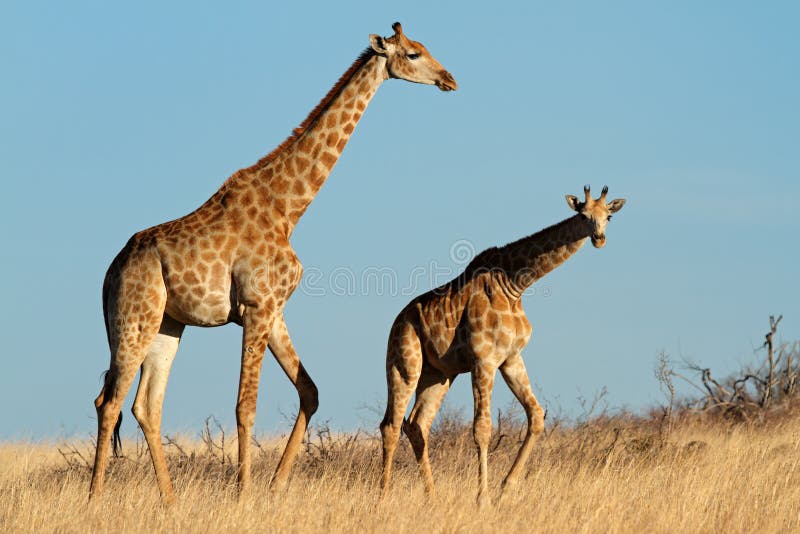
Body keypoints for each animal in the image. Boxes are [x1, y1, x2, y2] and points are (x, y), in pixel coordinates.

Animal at [89, 22, 456, 506]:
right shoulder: (256, 307)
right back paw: (94, 496)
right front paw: (243, 491)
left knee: (145, 405)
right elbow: (246, 405)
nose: (449, 79)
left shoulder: (275, 310)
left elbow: (310, 391)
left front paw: (276, 483)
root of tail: (110, 272)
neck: (288, 207)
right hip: (135, 319)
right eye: (413, 54)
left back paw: (169, 500)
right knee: (109, 401)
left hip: (168, 323)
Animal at [380, 185, 624, 506]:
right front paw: (482, 497)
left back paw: (431, 496)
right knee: (391, 424)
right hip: (404, 363)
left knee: (417, 425)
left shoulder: (511, 358)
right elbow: (482, 428)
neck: (514, 284)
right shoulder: (483, 360)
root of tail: (397, 321)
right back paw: (381, 495)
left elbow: (536, 416)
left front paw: (505, 487)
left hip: (438, 374)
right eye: (583, 215)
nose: (599, 238)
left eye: (608, 216)